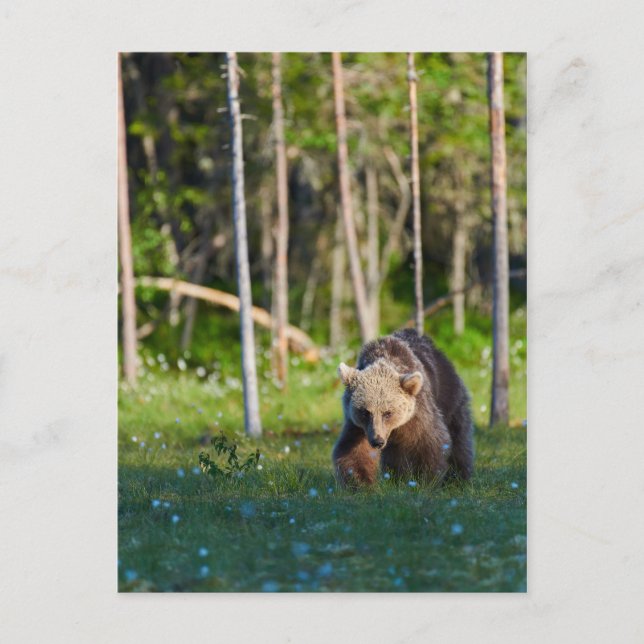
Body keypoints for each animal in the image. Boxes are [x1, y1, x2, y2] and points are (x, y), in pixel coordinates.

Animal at [332, 328, 474, 486]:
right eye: (365, 412)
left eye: (388, 413)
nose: (377, 441)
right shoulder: (358, 426)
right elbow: (353, 450)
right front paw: (360, 482)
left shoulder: (418, 412)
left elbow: (429, 442)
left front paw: (424, 479)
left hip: (449, 395)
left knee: (459, 436)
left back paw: (459, 476)